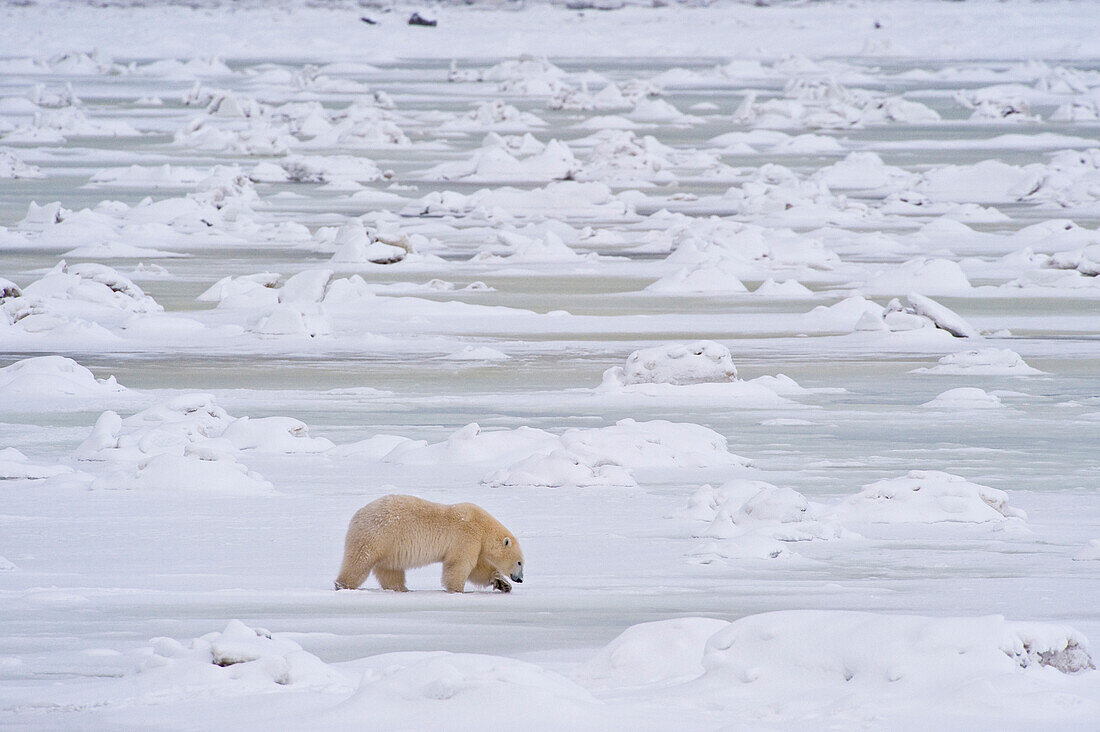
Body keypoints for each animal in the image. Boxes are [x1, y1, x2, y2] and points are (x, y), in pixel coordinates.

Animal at [334, 493, 523, 590]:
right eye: (520, 562)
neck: (483, 526)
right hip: (376, 536)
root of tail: (357, 515)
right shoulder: (466, 536)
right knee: (359, 562)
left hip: (389, 547)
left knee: (390, 570)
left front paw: (502, 583)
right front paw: (456, 589)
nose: (520, 579)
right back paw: (342, 585)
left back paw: (401, 589)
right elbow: (460, 564)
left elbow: (478, 569)